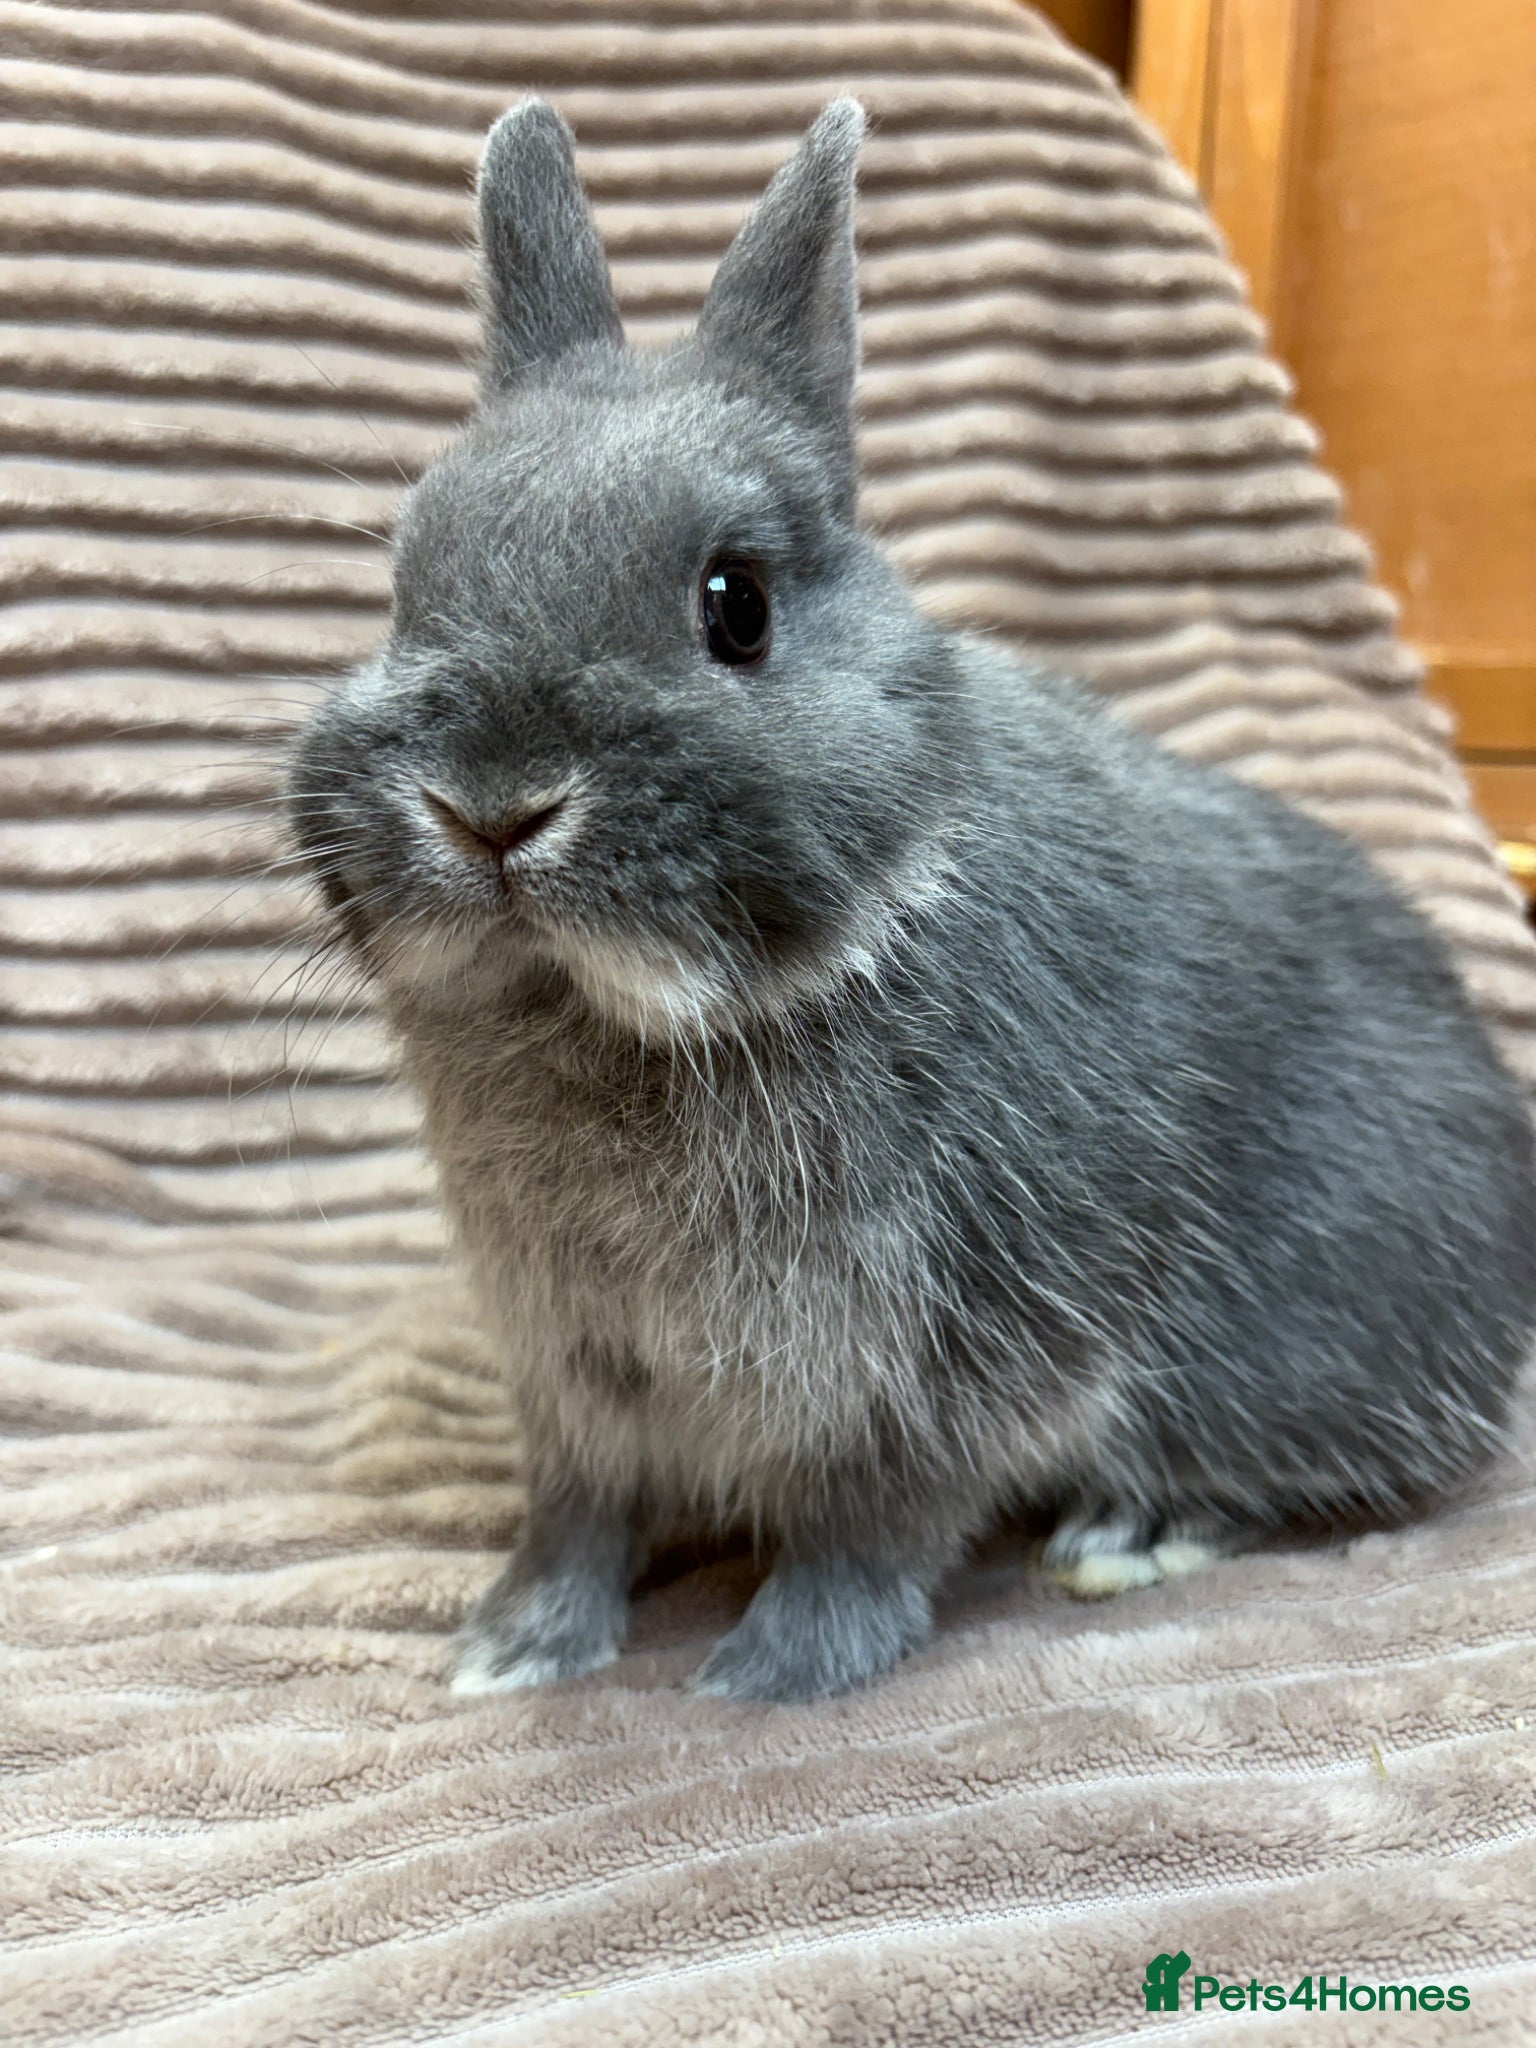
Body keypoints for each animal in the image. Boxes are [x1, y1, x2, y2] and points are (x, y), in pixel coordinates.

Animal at [286, 97, 1536, 1703]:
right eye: (403, 587)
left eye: (736, 604)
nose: (490, 805)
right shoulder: (576, 1371)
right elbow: (578, 1514)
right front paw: (515, 1647)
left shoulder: (944, 1362)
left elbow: (871, 1531)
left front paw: (770, 1672)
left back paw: (1126, 1538)